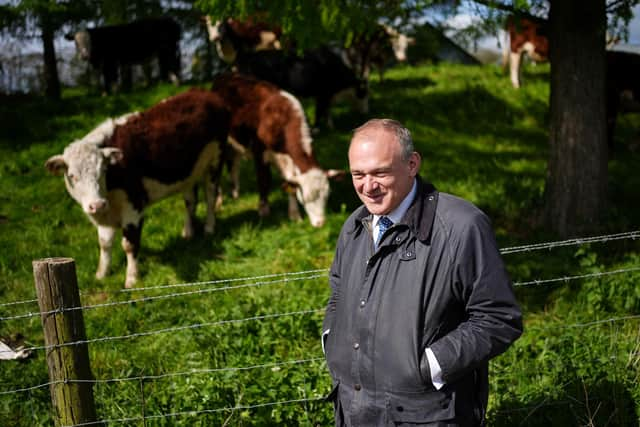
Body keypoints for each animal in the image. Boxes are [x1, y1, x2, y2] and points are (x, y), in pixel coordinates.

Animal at [44, 89, 230, 288]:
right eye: (72, 176)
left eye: (103, 170)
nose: (97, 204)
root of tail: (204, 93)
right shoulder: (105, 214)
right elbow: (104, 243)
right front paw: (101, 273)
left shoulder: (133, 206)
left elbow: (129, 245)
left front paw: (132, 278)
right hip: (188, 173)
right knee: (190, 201)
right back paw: (188, 232)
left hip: (216, 160)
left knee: (210, 196)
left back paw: (209, 228)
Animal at [211, 72, 342, 227]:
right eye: (307, 198)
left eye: (326, 196)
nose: (320, 223)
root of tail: (225, 76)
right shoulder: (259, 152)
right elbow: (264, 180)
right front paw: (263, 210)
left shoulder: (288, 160)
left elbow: (290, 184)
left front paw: (294, 215)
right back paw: (218, 201)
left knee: (233, 165)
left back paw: (235, 193)